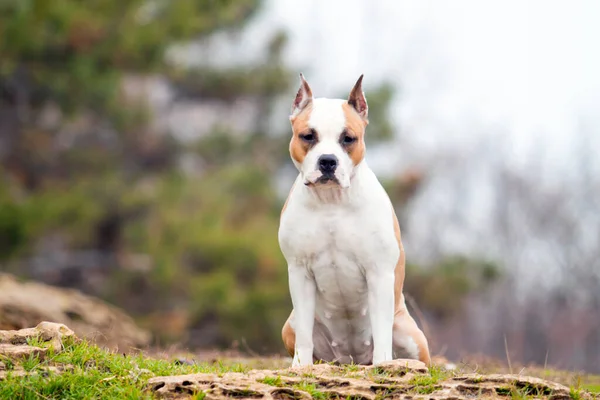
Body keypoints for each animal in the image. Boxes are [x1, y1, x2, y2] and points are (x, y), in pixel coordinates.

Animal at [278, 73, 428, 368]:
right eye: (308, 136)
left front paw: (384, 364)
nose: (327, 161)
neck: (332, 202)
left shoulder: (379, 271)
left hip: (409, 332)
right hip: (289, 325)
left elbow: (381, 331)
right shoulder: (299, 271)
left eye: (348, 138)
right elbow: (304, 334)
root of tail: (353, 359)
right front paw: (300, 367)